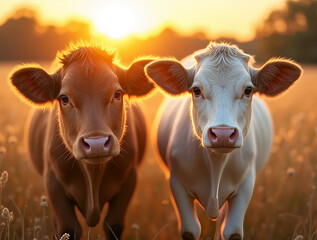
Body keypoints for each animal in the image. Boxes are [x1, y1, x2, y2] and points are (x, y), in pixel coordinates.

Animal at [9, 43, 153, 240]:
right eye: (64, 98)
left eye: (117, 94)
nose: (97, 144)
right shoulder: (53, 183)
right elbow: (68, 228)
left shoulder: (129, 179)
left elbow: (113, 226)